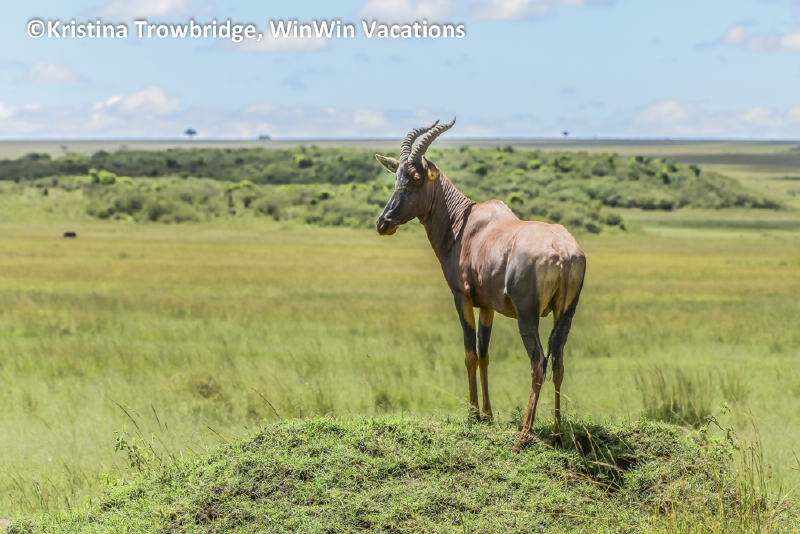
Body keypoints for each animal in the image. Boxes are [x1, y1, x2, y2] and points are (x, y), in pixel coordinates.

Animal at [375, 119, 586, 451]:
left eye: (416, 177)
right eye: (396, 177)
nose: (383, 223)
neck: (464, 224)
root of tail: (563, 251)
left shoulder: (461, 297)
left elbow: (469, 352)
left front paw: (474, 414)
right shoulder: (488, 305)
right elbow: (485, 354)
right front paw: (487, 414)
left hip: (527, 315)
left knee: (538, 361)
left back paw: (523, 436)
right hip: (565, 313)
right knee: (559, 361)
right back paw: (556, 432)